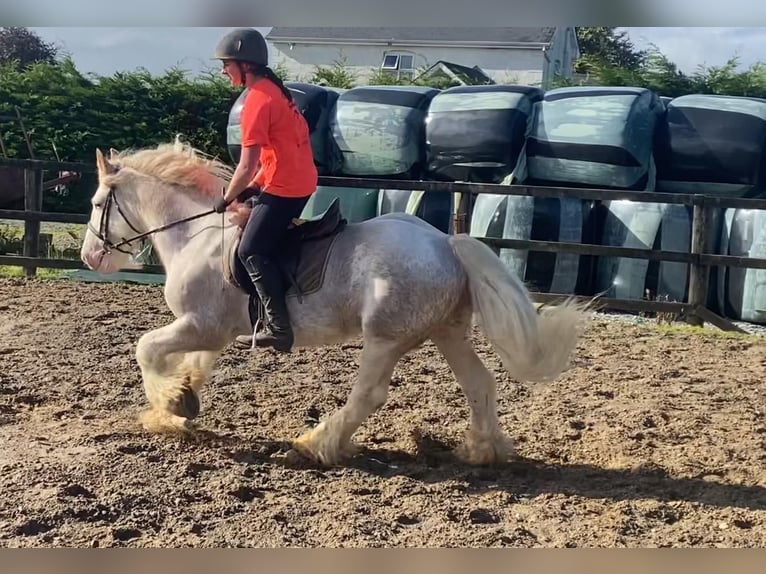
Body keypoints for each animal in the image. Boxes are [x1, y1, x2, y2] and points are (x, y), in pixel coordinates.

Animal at [79, 138, 592, 468]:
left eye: (97, 203)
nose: (89, 256)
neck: (195, 233)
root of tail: (446, 242)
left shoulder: (200, 324)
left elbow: (145, 348)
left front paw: (168, 402)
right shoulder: (213, 332)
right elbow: (190, 365)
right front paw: (177, 404)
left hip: (384, 337)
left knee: (369, 394)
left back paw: (315, 445)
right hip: (447, 333)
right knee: (479, 383)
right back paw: (484, 451)